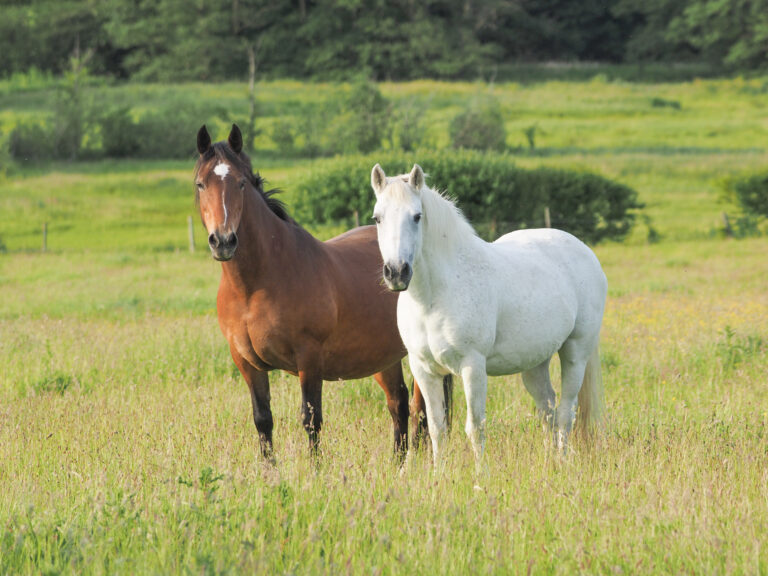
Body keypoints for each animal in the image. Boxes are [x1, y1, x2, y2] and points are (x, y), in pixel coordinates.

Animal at [194, 123, 447, 461]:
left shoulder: (309, 358)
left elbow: (310, 419)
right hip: (385, 356)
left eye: (241, 183)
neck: (255, 286)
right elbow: (263, 420)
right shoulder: (247, 364)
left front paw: (315, 470)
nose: (223, 241)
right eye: (200, 184)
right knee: (399, 404)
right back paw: (397, 462)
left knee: (423, 410)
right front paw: (269, 470)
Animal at [370, 163, 607, 467]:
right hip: (534, 363)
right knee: (548, 410)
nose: (397, 272)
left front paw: (480, 476)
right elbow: (436, 428)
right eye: (377, 218)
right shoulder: (424, 369)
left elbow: (475, 427)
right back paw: (549, 464)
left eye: (417, 216)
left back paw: (562, 463)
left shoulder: (473, 366)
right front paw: (439, 474)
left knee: (566, 412)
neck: (434, 297)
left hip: (576, 352)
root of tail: (584, 250)